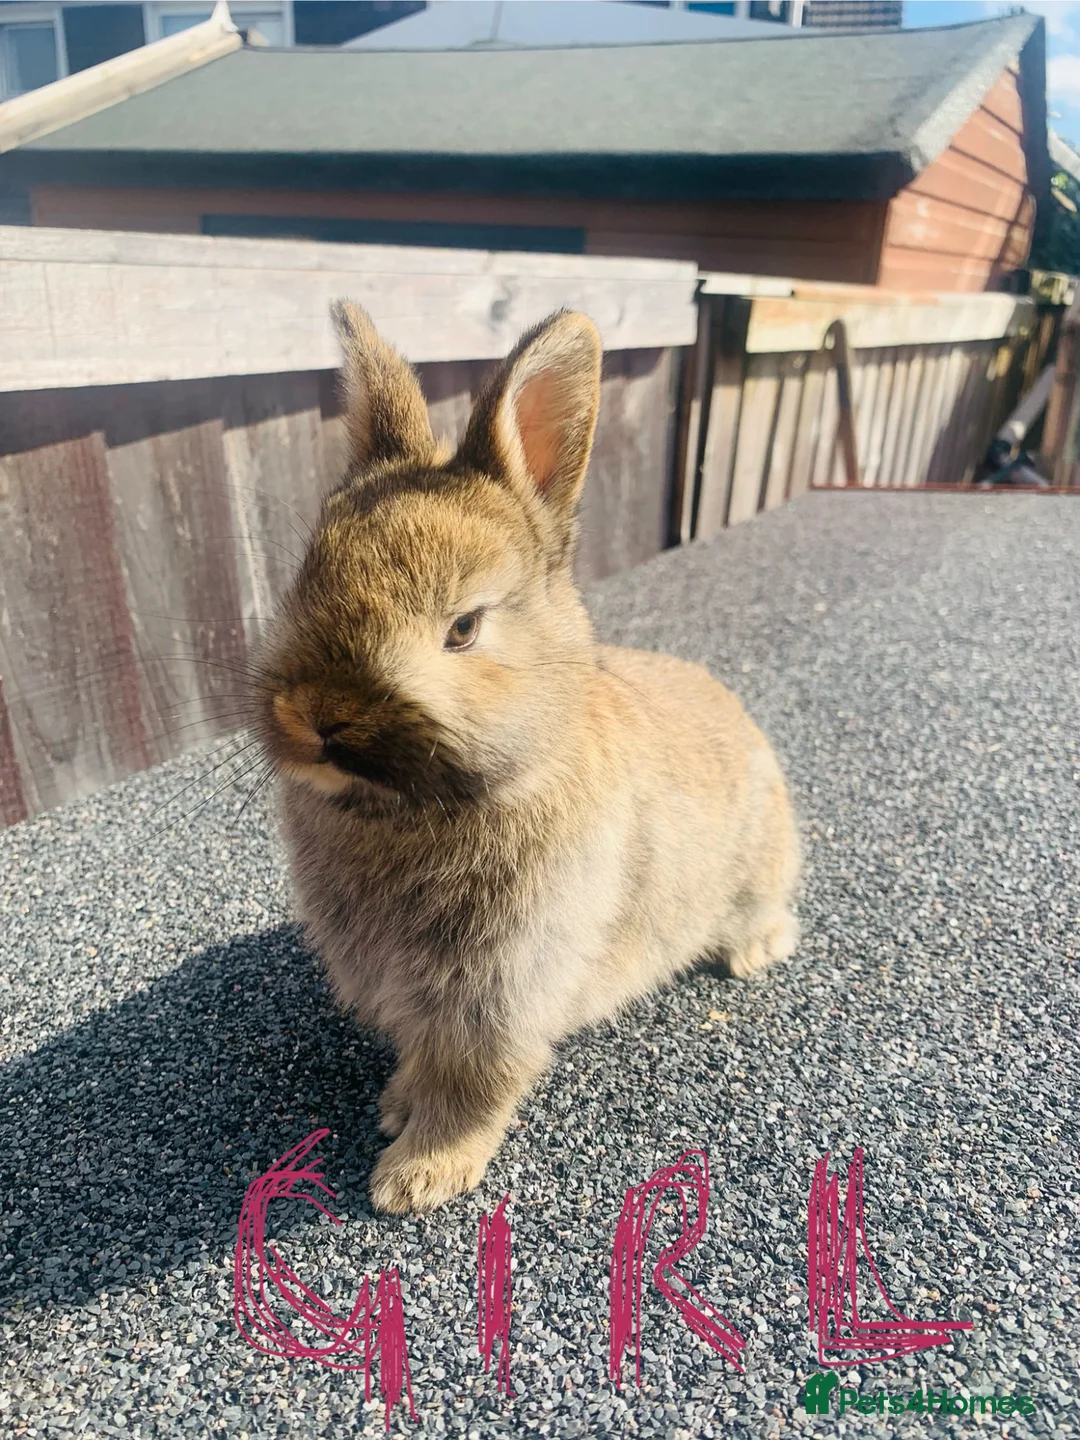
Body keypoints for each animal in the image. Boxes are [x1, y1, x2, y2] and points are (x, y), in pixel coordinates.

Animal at [250, 301, 801, 1215]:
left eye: (464, 628)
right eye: (307, 578)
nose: (319, 717)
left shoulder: (498, 994)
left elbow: (474, 1084)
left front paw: (418, 1176)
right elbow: (424, 1061)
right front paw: (397, 1106)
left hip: (757, 872)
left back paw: (754, 953)